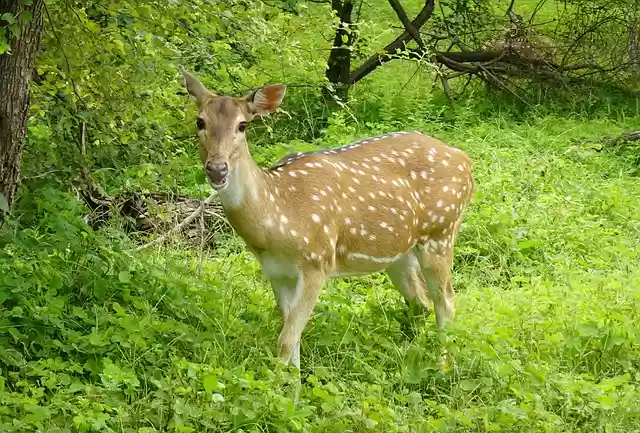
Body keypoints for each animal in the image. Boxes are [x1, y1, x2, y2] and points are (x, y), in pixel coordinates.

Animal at [181, 70, 475, 370]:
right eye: (200, 121)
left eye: (243, 125)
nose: (217, 169)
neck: (276, 222)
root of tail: (465, 160)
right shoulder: (276, 272)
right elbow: (292, 339)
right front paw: (291, 382)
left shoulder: (317, 261)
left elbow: (285, 340)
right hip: (399, 252)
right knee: (420, 302)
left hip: (442, 231)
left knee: (446, 300)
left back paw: (442, 368)